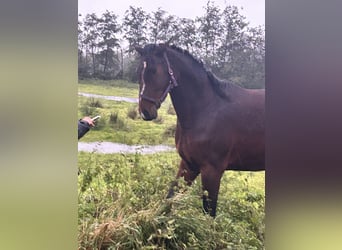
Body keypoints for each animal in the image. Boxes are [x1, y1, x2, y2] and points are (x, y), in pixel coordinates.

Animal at [135, 44, 264, 216]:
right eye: (138, 71)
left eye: (154, 71)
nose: (145, 112)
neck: (207, 109)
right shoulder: (188, 165)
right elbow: (169, 199)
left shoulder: (212, 171)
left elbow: (209, 213)